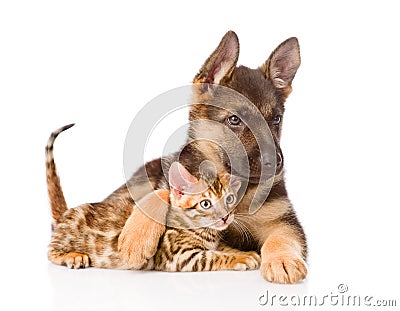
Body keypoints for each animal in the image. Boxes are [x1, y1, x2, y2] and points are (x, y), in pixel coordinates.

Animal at [47, 125, 260, 272]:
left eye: (229, 199)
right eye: (205, 203)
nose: (225, 217)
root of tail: (66, 214)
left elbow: (223, 247)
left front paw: (245, 253)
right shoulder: (179, 255)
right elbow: (213, 257)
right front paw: (240, 259)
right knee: (50, 251)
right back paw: (73, 257)